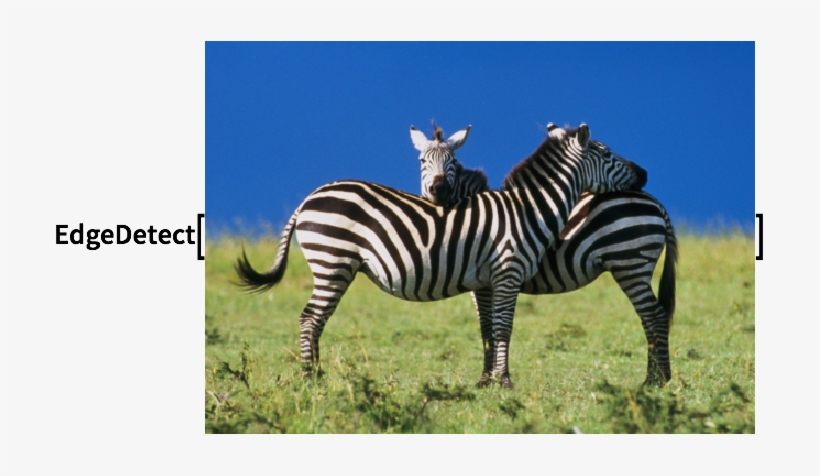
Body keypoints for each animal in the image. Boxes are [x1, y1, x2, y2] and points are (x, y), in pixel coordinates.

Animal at [235, 124, 648, 389]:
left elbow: (490, 329)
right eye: (607, 153)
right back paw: (310, 379)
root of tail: (309, 197)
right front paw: (505, 382)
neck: (526, 210)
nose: (644, 175)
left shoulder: (487, 279)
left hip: (335, 265)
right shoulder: (507, 271)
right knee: (310, 318)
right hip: (333, 261)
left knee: (316, 319)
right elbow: (504, 328)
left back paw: (316, 375)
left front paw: (489, 382)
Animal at [418, 123, 677, 386]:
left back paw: (655, 380)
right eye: (422, 162)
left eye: (452, 162)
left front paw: (486, 380)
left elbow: (489, 327)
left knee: (654, 315)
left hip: (630, 263)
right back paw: (658, 377)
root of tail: (656, 202)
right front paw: (489, 379)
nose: (439, 192)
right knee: (651, 317)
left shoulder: (484, 284)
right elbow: (488, 327)